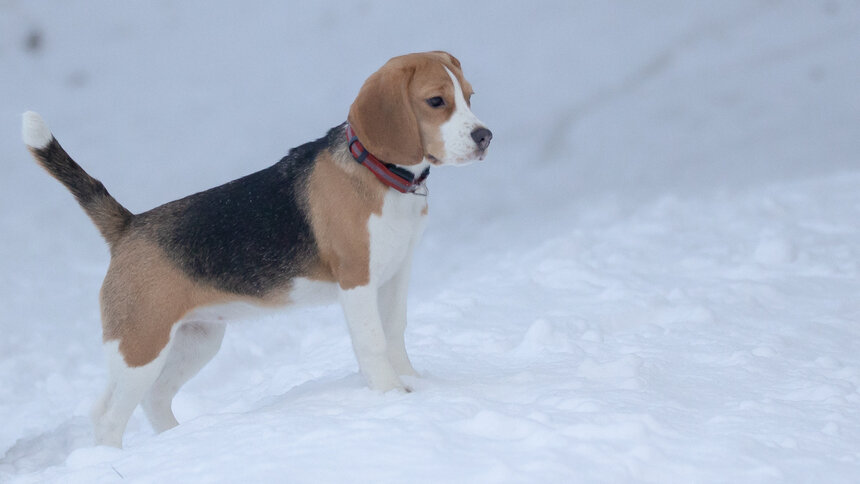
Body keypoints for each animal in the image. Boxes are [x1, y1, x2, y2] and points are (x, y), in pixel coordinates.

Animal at [21, 51, 490, 448]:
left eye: (468, 97)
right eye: (435, 101)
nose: (485, 136)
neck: (379, 173)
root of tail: (129, 224)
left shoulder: (396, 272)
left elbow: (395, 333)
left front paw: (416, 385)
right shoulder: (357, 280)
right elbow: (374, 342)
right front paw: (391, 396)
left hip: (197, 340)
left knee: (154, 399)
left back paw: (179, 442)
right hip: (139, 345)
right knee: (107, 416)